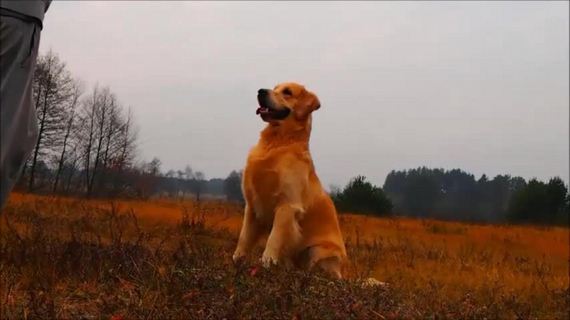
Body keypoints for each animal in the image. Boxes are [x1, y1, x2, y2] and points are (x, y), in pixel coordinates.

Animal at [231, 82, 346, 278]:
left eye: (287, 92)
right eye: (275, 87)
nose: (261, 91)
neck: (279, 141)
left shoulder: (287, 205)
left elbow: (274, 239)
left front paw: (265, 265)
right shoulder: (252, 205)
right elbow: (244, 239)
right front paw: (236, 262)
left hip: (318, 250)